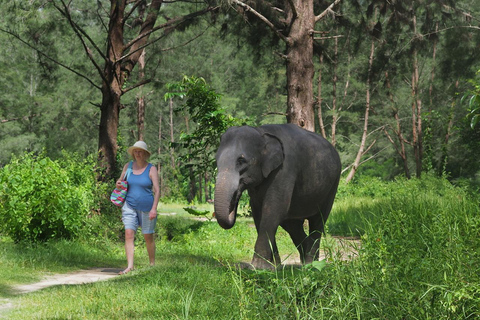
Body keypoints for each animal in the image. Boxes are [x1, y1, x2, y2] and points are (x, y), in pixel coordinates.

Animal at [214, 124, 342, 268]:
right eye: (216, 161)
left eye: (241, 161)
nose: (235, 195)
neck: (261, 132)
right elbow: (258, 213)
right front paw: (274, 267)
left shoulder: (284, 170)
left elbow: (273, 210)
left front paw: (258, 267)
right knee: (292, 225)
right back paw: (305, 259)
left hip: (332, 186)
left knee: (318, 221)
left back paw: (310, 265)